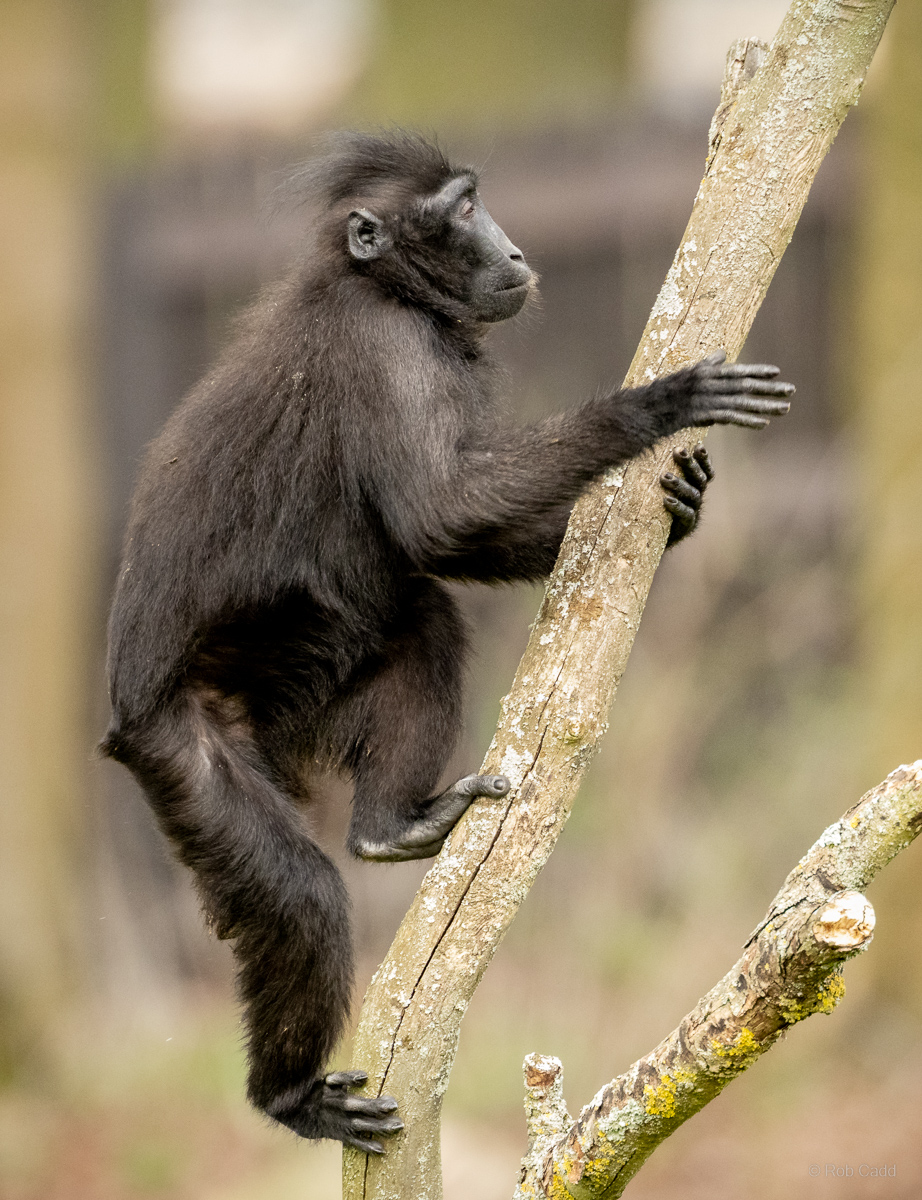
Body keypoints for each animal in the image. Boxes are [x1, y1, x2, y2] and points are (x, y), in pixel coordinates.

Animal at [101, 131, 793, 1153]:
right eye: (462, 209)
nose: (513, 250)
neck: (381, 287)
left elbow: (444, 541)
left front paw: (684, 509)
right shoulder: (388, 350)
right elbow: (443, 513)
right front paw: (658, 405)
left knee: (422, 615)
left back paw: (391, 827)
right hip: (182, 745)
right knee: (300, 894)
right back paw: (289, 1096)